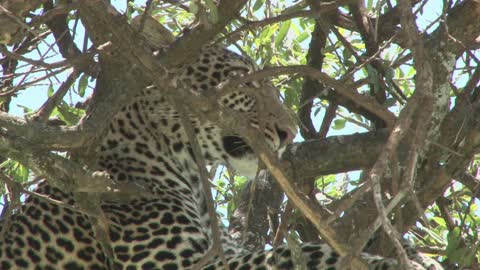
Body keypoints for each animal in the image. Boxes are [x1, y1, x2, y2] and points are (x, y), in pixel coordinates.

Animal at [0, 42, 444, 270]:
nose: (289, 132)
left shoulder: (221, 252)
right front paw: (397, 261)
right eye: (242, 85)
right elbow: (296, 253)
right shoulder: (184, 265)